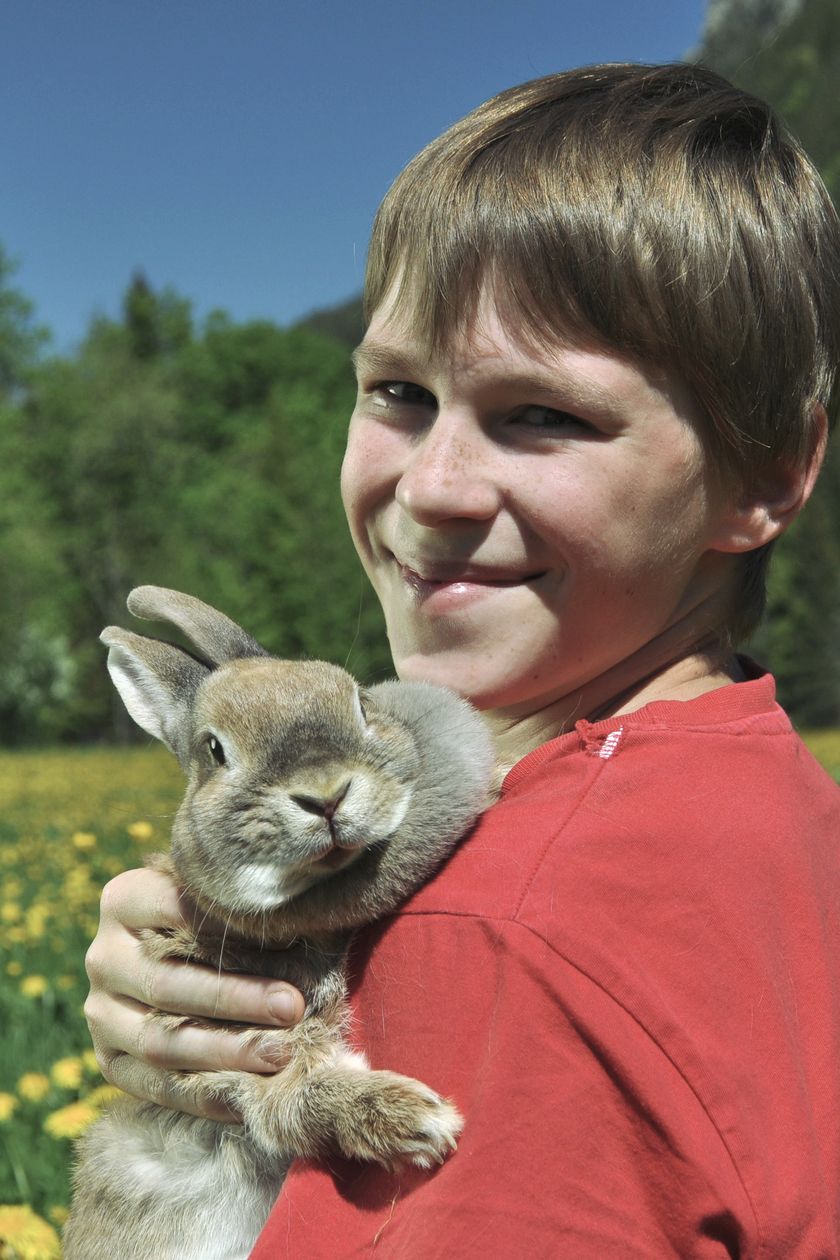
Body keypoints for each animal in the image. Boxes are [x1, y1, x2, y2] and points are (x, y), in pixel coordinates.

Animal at [63, 585, 495, 1260]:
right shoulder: (234, 1062)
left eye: (359, 703)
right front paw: (418, 1121)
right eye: (215, 751)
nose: (326, 795)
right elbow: (296, 1099)